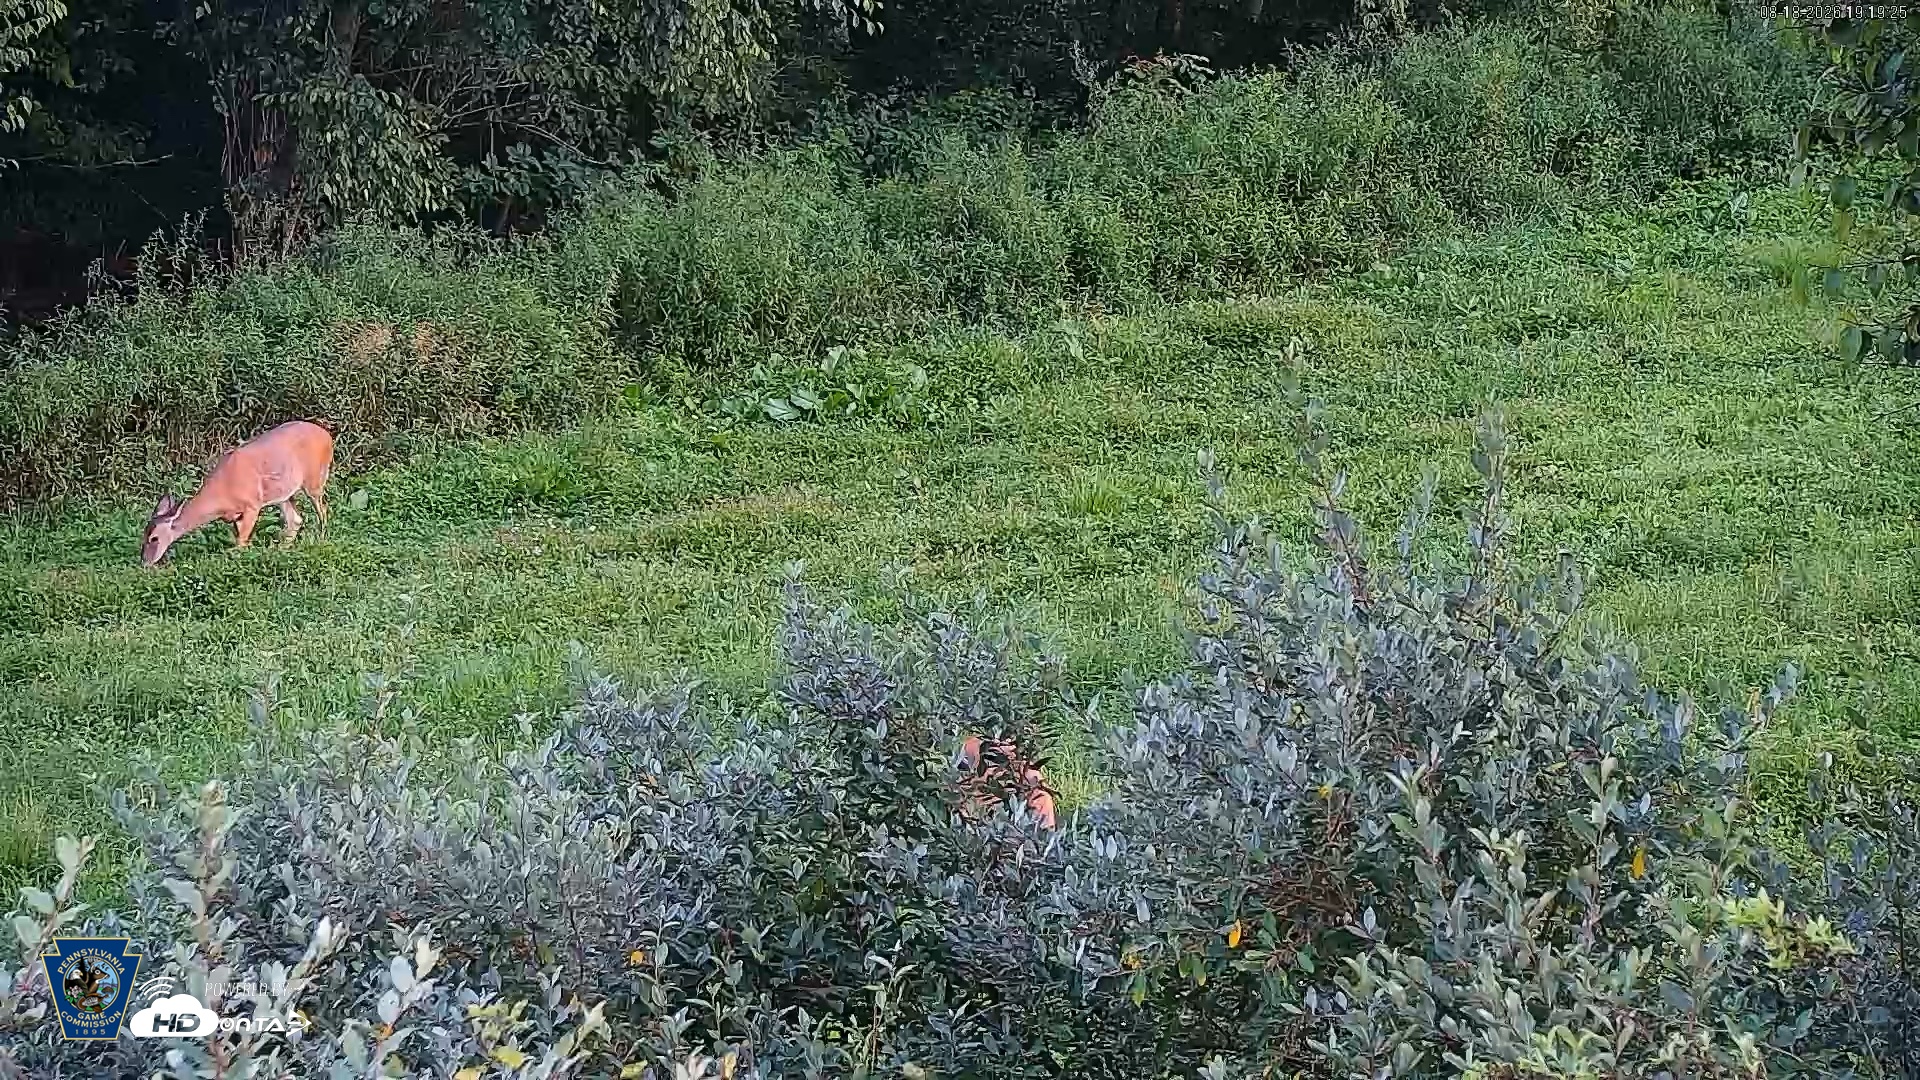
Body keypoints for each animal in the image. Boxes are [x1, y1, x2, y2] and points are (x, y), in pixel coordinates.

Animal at [140, 420, 334, 567]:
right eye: (144, 534)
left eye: (154, 538)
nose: (145, 563)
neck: (222, 496)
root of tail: (328, 436)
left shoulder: (252, 505)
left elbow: (241, 543)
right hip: (284, 493)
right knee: (296, 519)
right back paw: (279, 550)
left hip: (314, 480)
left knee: (323, 510)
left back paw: (321, 540)